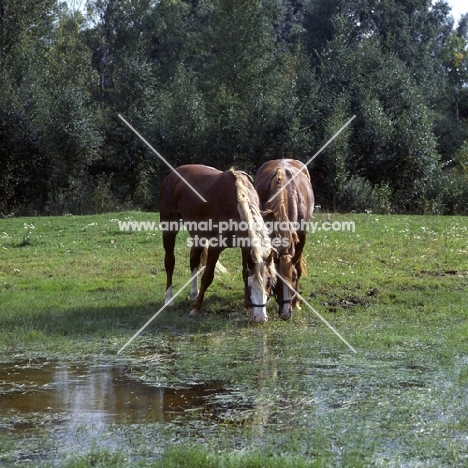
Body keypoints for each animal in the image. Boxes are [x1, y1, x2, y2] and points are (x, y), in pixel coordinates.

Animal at [159, 165, 276, 322]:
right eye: (252, 285)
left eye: (269, 283)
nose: (260, 318)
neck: (236, 203)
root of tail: (172, 175)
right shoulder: (215, 247)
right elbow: (207, 276)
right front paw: (196, 308)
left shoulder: (245, 247)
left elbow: (244, 273)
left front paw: (248, 306)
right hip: (169, 228)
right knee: (170, 261)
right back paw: (169, 298)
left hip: (197, 234)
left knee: (193, 260)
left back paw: (193, 293)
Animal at [252, 159, 314, 320]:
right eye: (277, 283)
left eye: (293, 278)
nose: (286, 314)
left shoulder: (301, 239)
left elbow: (297, 268)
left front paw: (296, 302)